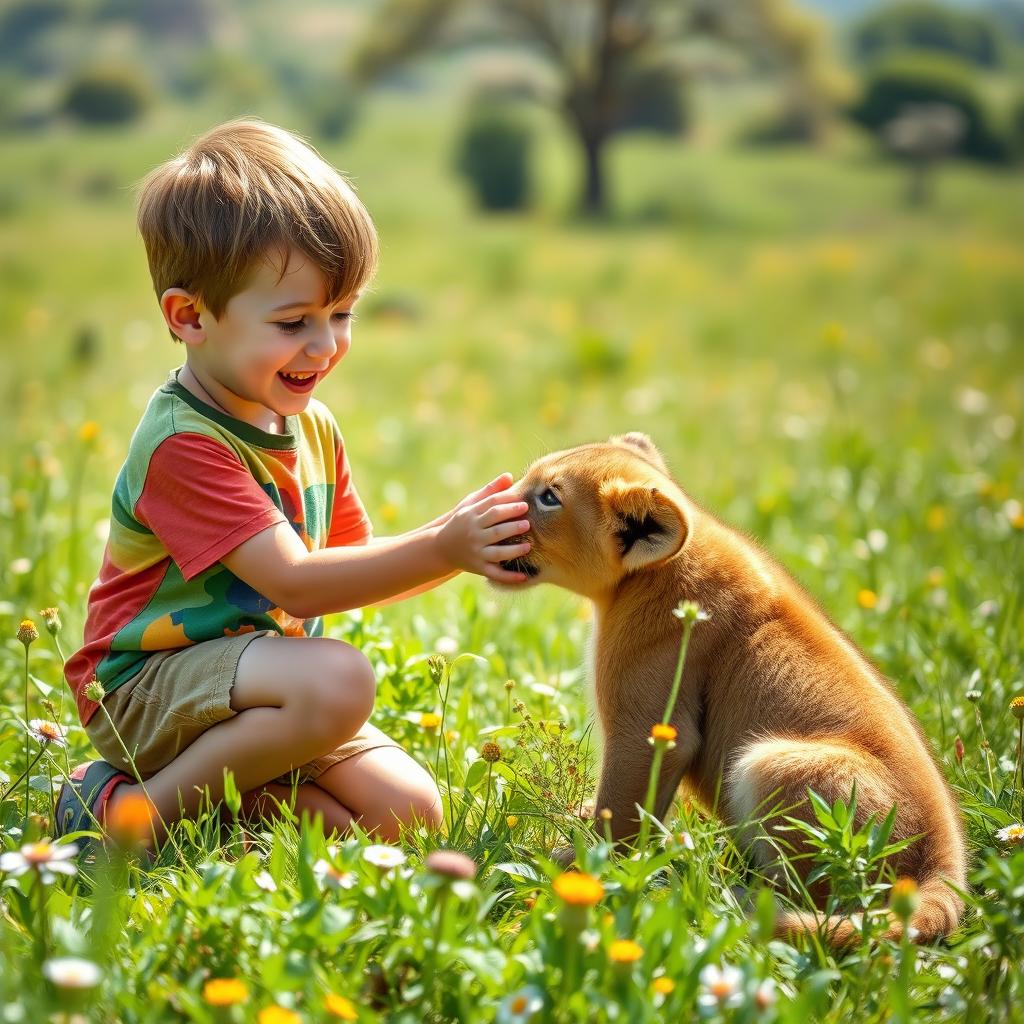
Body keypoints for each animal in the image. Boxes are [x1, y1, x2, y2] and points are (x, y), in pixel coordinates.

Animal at [499, 432, 965, 943]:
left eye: (549, 497)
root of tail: (942, 871)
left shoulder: (650, 727)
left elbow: (619, 813)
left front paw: (578, 866)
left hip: (774, 765)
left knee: (810, 899)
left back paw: (724, 897)